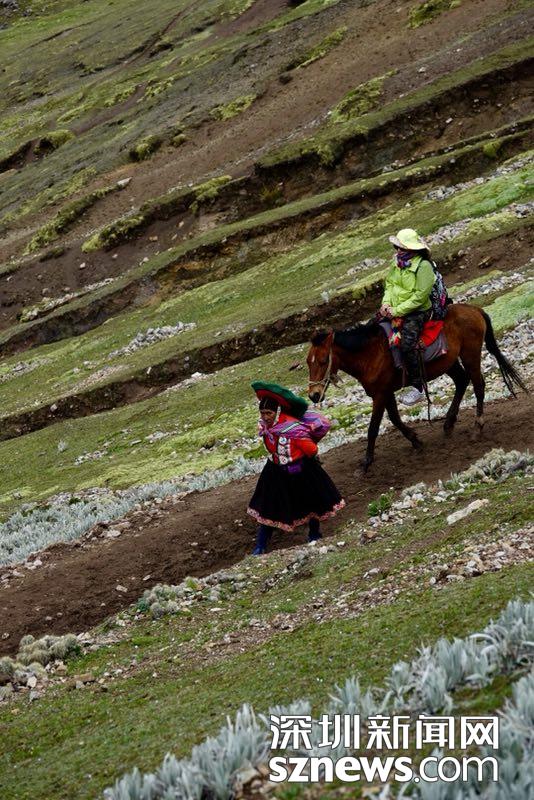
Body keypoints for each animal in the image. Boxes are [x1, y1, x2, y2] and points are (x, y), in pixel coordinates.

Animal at [306, 304, 527, 472]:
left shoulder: (380, 394)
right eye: (308, 362)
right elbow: (395, 418)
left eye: (323, 360)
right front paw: (415, 441)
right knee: (462, 381)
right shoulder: (386, 392)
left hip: (470, 355)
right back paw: (448, 424)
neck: (369, 354)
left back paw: (477, 427)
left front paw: (365, 464)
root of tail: (474, 309)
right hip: (448, 362)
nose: (314, 395)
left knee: (478, 384)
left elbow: (373, 428)